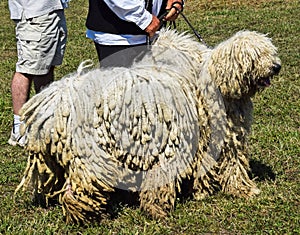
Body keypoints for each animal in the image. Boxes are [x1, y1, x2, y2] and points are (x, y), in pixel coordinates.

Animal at [14, 28, 282, 223]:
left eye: (271, 52)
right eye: (256, 55)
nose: (276, 66)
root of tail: (58, 102)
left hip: (66, 157)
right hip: (100, 152)